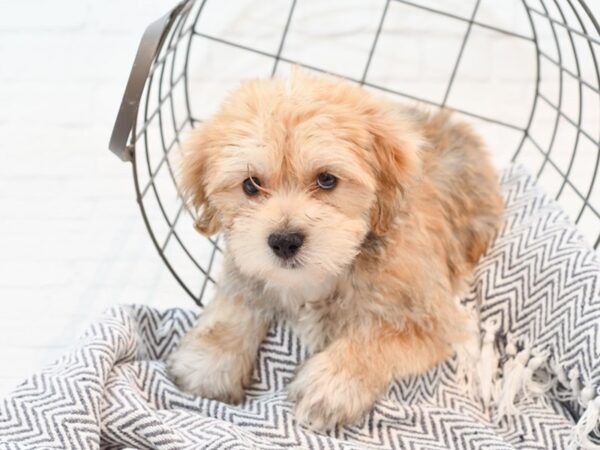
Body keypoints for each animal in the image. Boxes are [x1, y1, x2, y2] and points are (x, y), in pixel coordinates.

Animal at [166, 69, 504, 428]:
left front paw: (332, 384)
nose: (284, 241)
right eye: (250, 185)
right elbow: (236, 302)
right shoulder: (244, 266)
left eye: (327, 180)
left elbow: (378, 337)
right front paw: (209, 361)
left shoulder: (433, 319)